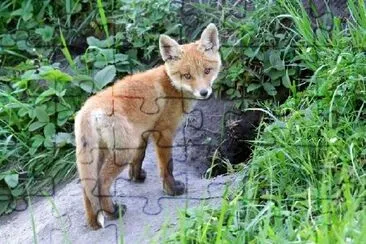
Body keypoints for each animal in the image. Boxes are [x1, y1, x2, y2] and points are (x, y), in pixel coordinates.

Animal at [75, 22, 220, 229]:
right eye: (187, 75)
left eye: (207, 71)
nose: (204, 92)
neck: (172, 86)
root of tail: (87, 109)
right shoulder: (163, 131)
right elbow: (167, 166)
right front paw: (171, 190)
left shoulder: (143, 133)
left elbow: (139, 158)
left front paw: (136, 177)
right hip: (122, 152)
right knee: (101, 183)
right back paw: (112, 213)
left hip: (99, 153)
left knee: (87, 187)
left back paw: (93, 222)